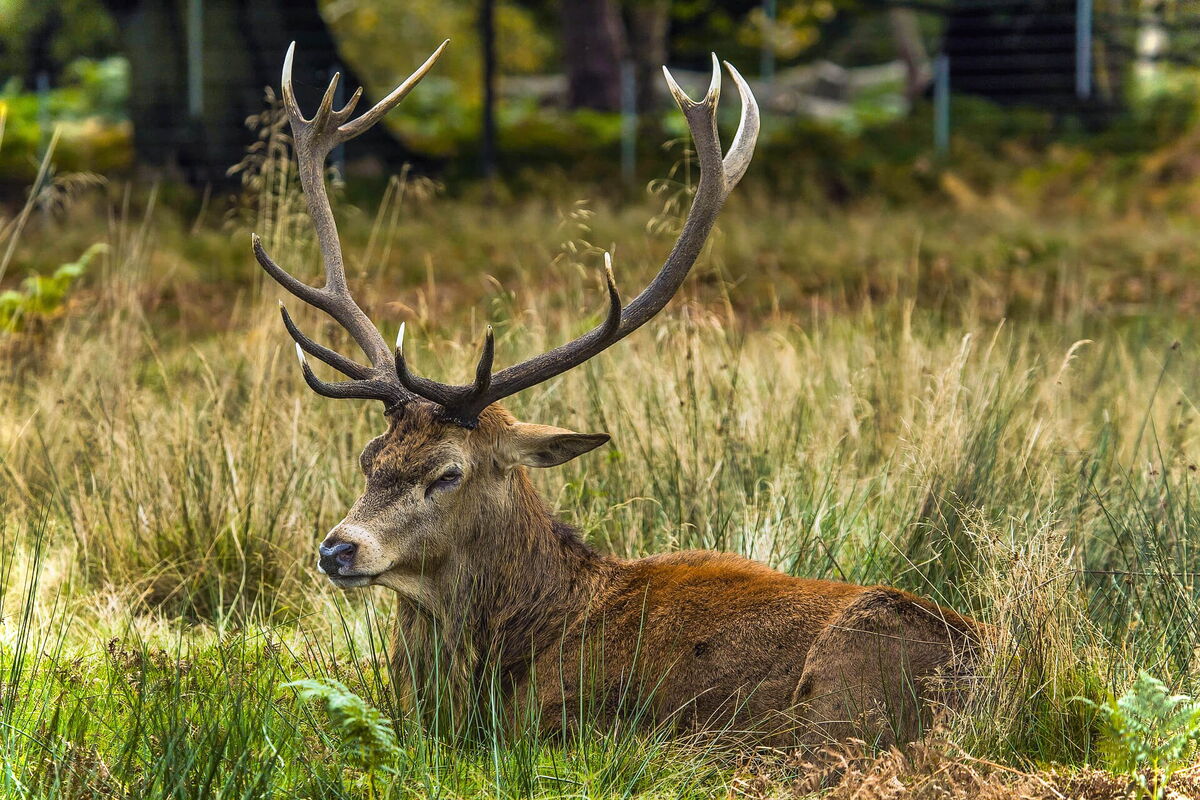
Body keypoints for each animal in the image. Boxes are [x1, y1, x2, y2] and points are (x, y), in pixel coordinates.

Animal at [251, 40, 984, 748]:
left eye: (448, 473)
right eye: (368, 459)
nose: (337, 549)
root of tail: (986, 671)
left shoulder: (567, 724)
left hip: (838, 703)